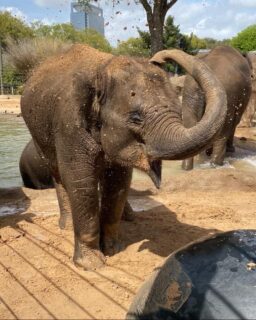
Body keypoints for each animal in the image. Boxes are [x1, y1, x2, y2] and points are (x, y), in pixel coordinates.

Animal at [20, 44, 226, 270]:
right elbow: (81, 181)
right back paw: (65, 226)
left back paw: (129, 218)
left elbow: (118, 182)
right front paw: (92, 265)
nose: (159, 57)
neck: (102, 69)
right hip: (38, 134)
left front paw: (113, 249)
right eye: (136, 118)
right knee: (57, 174)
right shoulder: (68, 125)